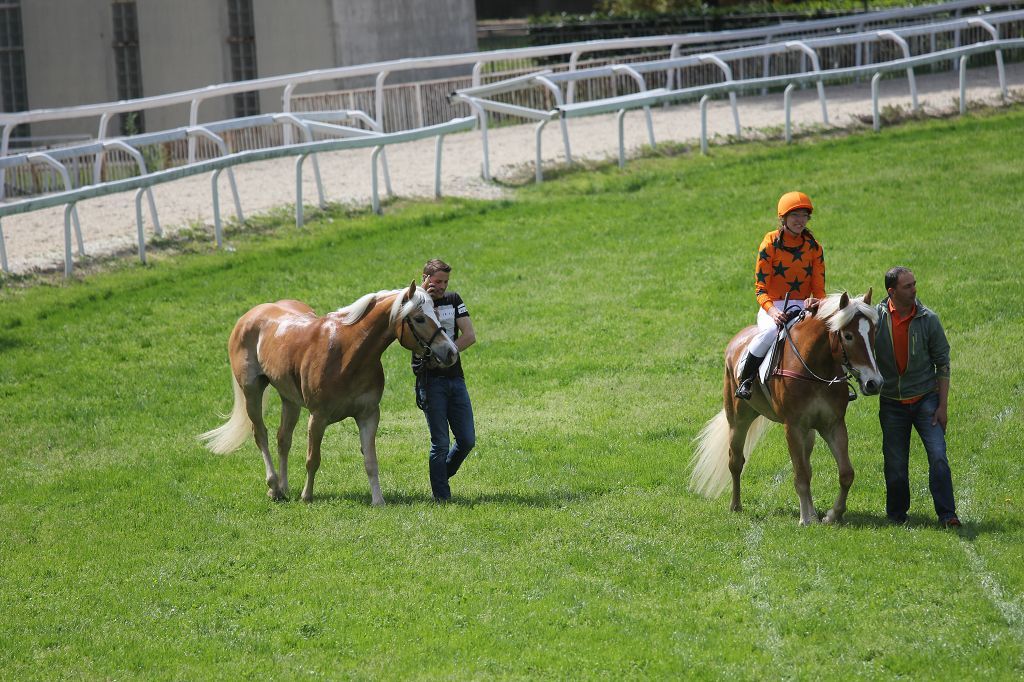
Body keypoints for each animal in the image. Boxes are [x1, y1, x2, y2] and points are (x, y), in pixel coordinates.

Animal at [198, 282, 458, 505]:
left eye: (437, 312)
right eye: (419, 318)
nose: (451, 352)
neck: (347, 353)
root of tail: (250, 316)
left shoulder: (368, 415)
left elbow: (370, 460)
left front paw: (378, 500)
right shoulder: (318, 417)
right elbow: (313, 459)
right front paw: (307, 496)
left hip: (289, 400)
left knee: (283, 439)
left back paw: (283, 487)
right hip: (251, 392)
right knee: (260, 434)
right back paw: (273, 487)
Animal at [690, 290, 883, 525]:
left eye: (873, 333)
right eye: (848, 336)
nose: (874, 383)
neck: (814, 369)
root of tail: (737, 341)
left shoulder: (833, 425)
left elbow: (845, 473)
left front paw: (831, 515)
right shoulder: (793, 427)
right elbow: (801, 475)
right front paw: (806, 519)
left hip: (808, 432)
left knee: (807, 465)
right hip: (738, 419)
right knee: (735, 461)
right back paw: (736, 506)